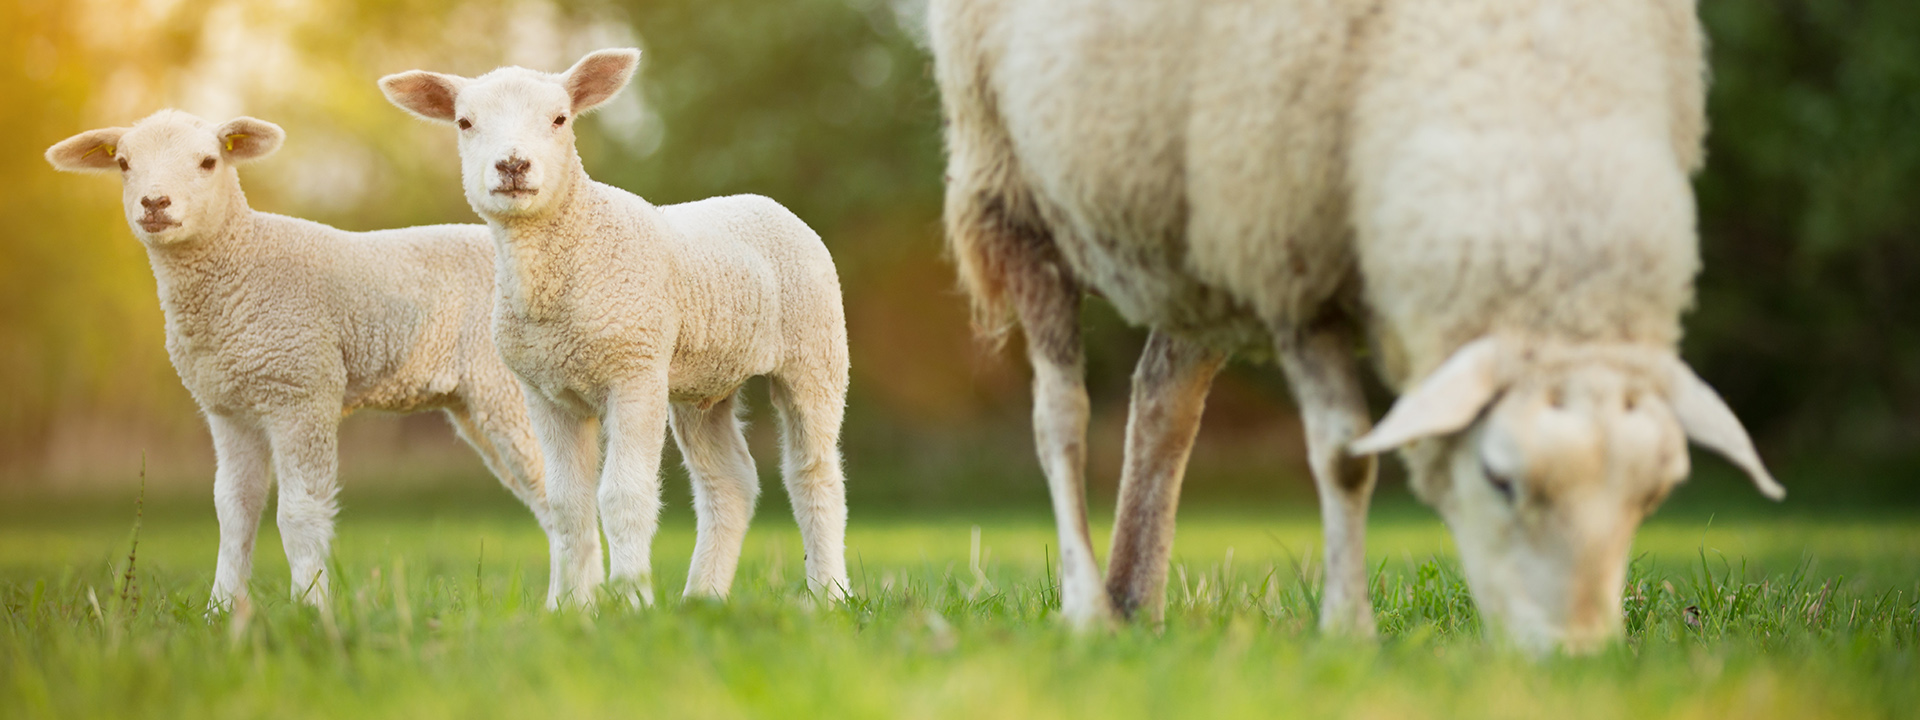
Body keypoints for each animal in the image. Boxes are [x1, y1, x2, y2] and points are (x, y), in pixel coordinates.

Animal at [45, 110, 561, 612]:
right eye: (123, 163)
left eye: (208, 162)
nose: (154, 203)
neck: (241, 264)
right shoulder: (228, 408)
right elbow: (234, 509)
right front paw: (220, 610)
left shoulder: (302, 390)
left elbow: (299, 512)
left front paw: (311, 605)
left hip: (506, 387)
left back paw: (569, 602)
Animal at [378, 49, 851, 607]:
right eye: (464, 123)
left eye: (560, 119)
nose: (513, 165)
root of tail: (763, 201)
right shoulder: (545, 392)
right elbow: (566, 504)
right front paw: (570, 607)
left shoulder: (634, 374)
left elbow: (623, 496)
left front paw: (631, 601)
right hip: (701, 384)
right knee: (729, 483)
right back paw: (702, 598)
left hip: (815, 352)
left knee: (814, 475)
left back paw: (828, 595)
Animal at [930, 0, 1783, 651]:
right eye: (1499, 479)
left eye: (1656, 494)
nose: (1576, 658)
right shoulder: (1292, 267)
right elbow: (1344, 456)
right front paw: (1348, 630)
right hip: (1013, 185)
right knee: (1061, 416)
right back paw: (1088, 607)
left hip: (1201, 227)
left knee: (1162, 405)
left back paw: (1135, 601)